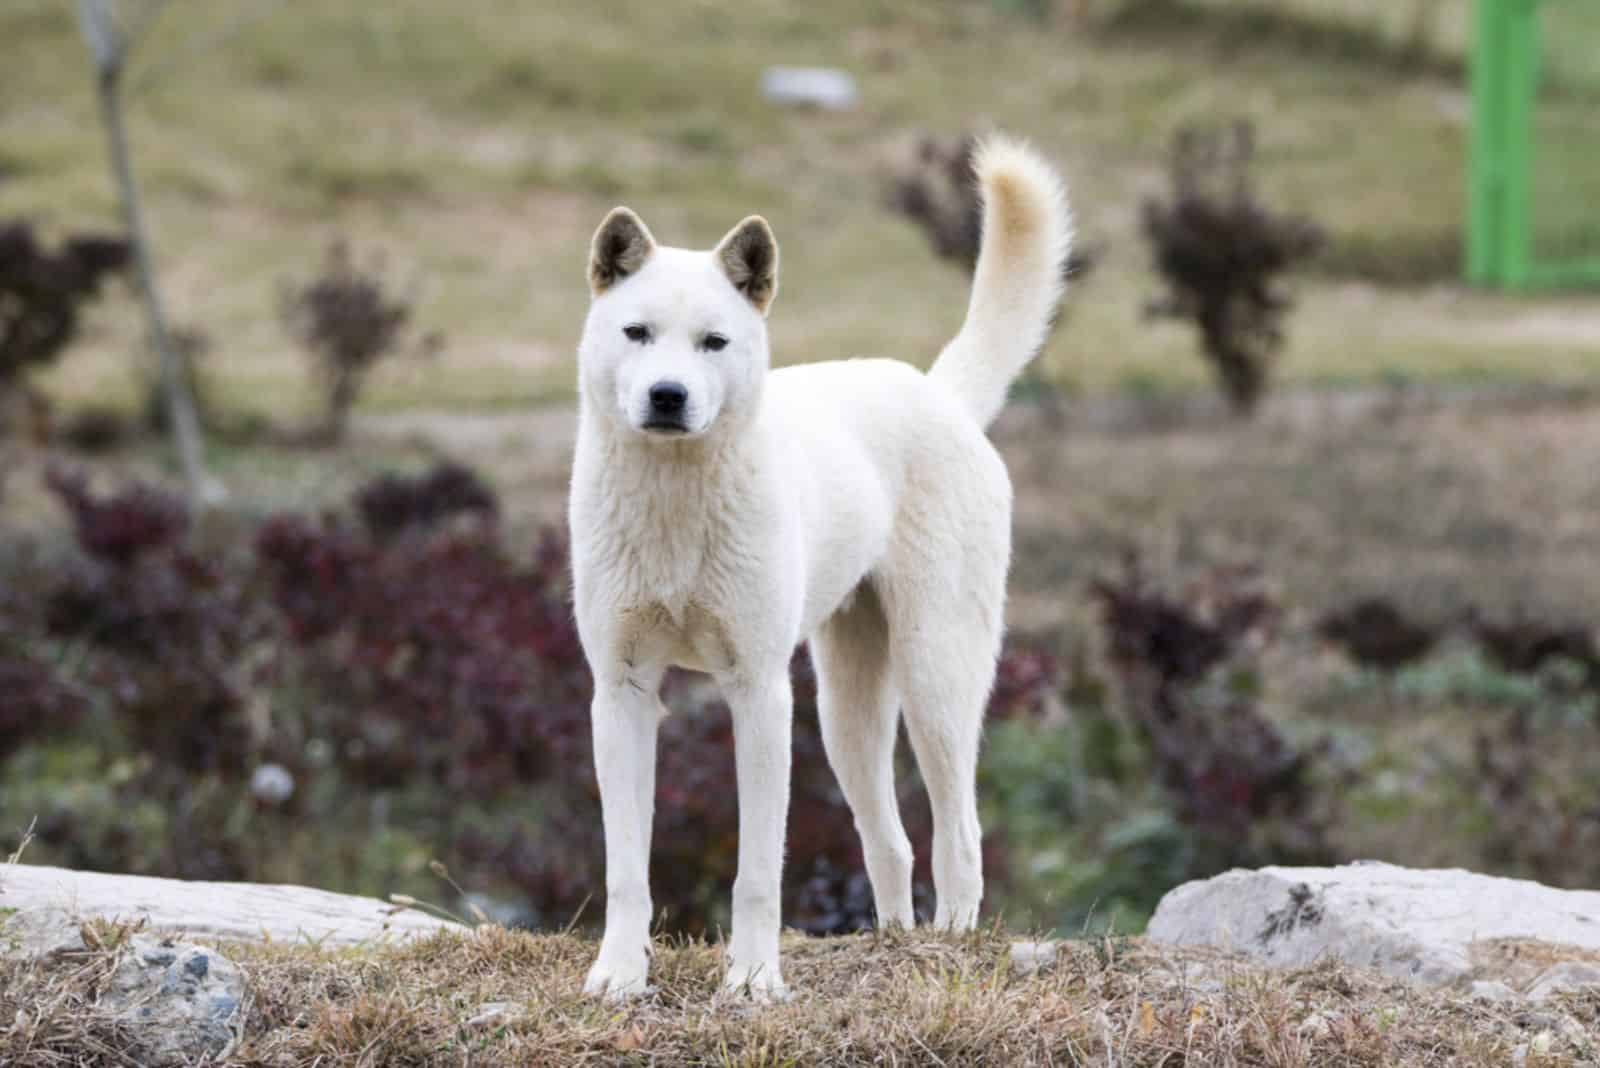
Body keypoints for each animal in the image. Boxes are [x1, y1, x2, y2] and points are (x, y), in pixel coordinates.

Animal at [569, 135, 1068, 1004]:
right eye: (636, 333)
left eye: (714, 343)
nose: (667, 397)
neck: (673, 505)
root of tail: (937, 393)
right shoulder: (622, 692)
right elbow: (628, 868)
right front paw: (619, 976)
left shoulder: (761, 694)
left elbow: (757, 873)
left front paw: (753, 981)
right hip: (846, 714)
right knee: (892, 842)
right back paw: (896, 939)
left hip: (935, 681)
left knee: (960, 834)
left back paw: (949, 943)